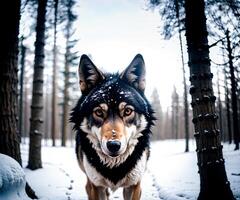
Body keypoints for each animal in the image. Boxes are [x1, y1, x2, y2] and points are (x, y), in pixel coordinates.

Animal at [70, 54, 155, 199]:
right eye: (99, 112)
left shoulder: (134, 185)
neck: (114, 166)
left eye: (127, 111)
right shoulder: (96, 186)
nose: (114, 145)